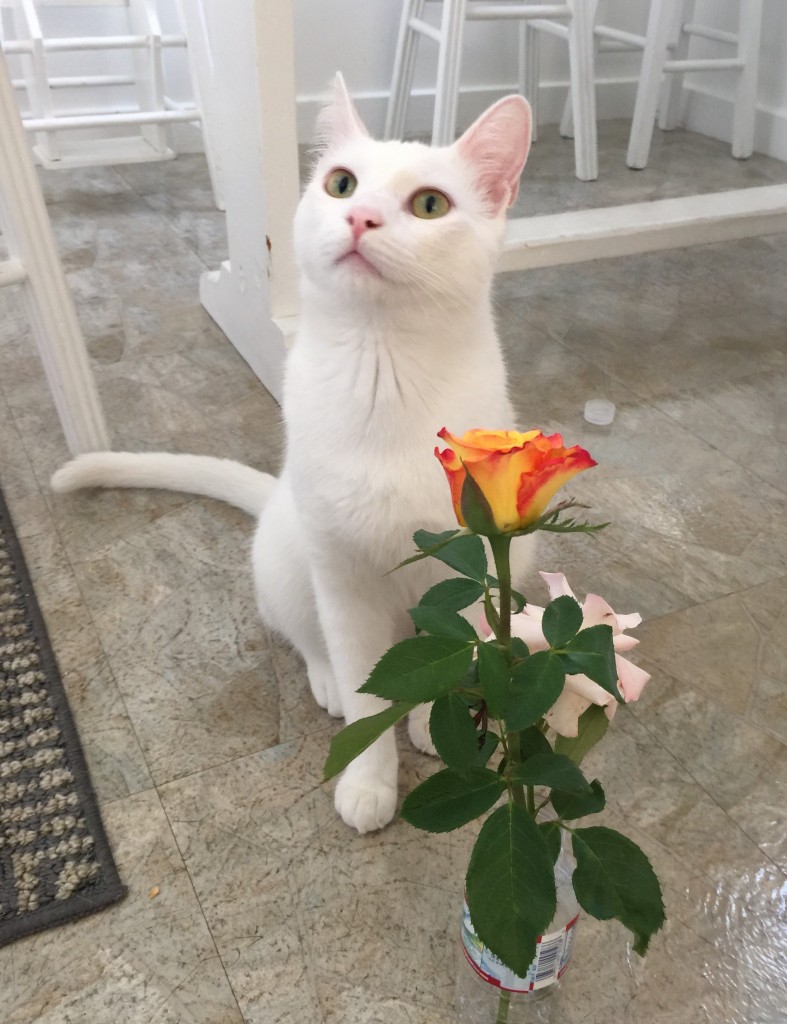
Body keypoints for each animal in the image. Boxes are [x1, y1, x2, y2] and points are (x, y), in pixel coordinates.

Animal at [52, 77, 532, 831]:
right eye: (341, 184)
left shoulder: (468, 567)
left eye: (429, 204)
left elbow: (453, 651)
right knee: (301, 632)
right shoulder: (340, 578)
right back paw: (327, 679)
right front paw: (368, 777)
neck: (382, 371)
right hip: (288, 555)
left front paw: (436, 722)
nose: (360, 216)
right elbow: (367, 694)